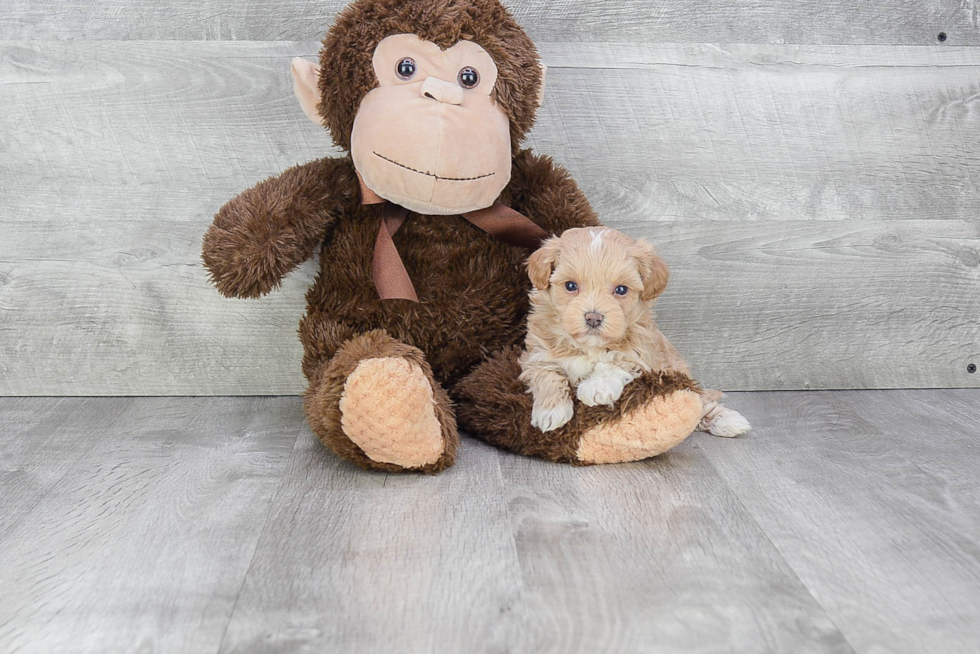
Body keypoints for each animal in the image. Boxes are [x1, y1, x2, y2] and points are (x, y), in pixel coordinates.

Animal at [520, 227, 752, 440]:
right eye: (570, 285)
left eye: (621, 290)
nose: (593, 317)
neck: (589, 346)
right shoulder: (536, 355)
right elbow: (546, 374)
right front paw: (551, 411)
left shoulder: (641, 353)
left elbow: (617, 360)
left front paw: (596, 388)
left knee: (701, 402)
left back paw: (726, 420)